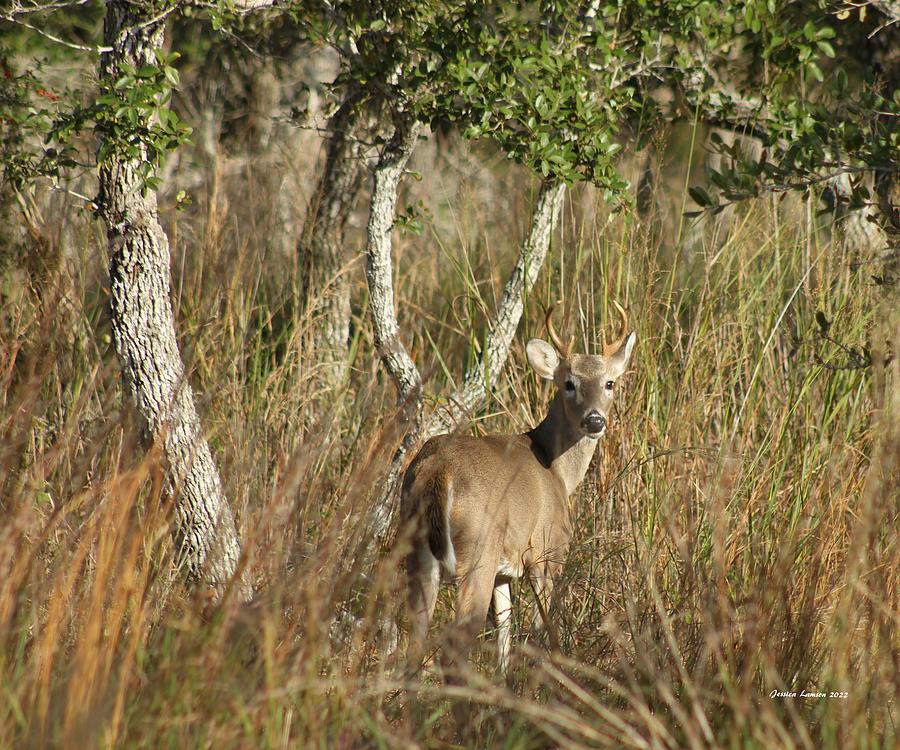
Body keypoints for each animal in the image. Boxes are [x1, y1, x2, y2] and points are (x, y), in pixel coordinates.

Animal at [398, 302, 636, 680]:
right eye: (569, 383)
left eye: (609, 382)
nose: (595, 420)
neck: (557, 469)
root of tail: (438, 469)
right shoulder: (546, 553)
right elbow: (541, 632)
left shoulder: (503, 572)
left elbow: (505, 636)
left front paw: (506, 681)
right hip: (477, 550)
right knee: (455, 645)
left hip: (417, 549)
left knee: (414, 642)